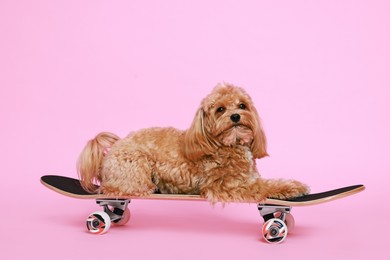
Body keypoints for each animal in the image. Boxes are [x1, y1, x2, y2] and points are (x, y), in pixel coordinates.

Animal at [77, 83, 310, 203]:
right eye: (220, 109)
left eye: (242, 105)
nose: (235, 116)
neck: (226, 145)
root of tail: (109, 153)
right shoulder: (225, 187)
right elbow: (262, 187)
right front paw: (294, 186)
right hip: (136, 173)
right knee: (116, 189)